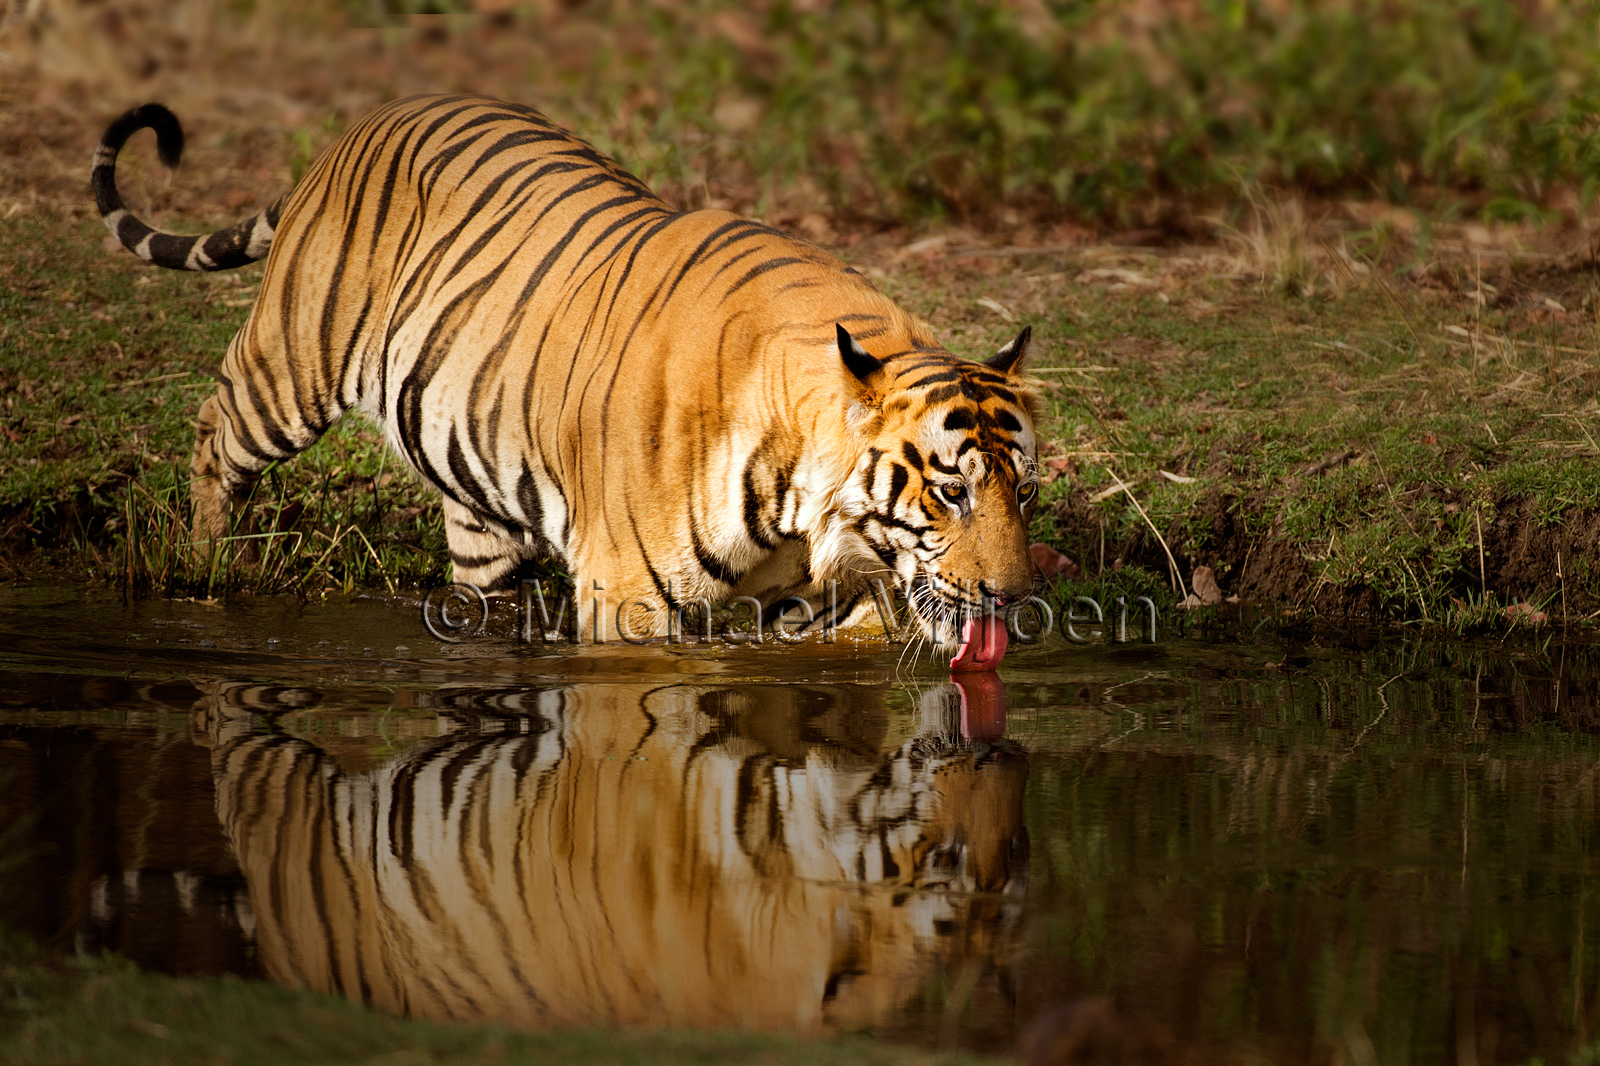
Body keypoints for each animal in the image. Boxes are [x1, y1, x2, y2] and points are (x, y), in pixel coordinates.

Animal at [93, 94, 1040, 666]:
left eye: (1023, 494)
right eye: (952, 493)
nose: (1012, 599)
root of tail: (372, 119)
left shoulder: (826, 602)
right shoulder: (627, 597)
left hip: (473, 485)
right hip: (289, 364)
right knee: (214, 437)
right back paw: (206, 570)